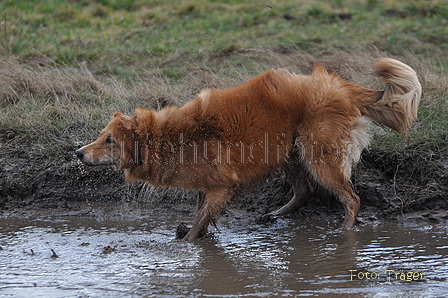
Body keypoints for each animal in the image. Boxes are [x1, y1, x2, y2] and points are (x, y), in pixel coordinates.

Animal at [75, 58, 422, 240]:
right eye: (101, 136)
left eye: (109, 140)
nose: (78, 153)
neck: (167, 138)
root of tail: (339, 85)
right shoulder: (208, 187)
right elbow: (200, 214)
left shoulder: (221, 187)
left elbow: (200, 221)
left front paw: (188, 243)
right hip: (290, 153)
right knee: (305, 190)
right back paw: (276, 214)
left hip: (319, 158)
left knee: (352, 198)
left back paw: (345, 232)